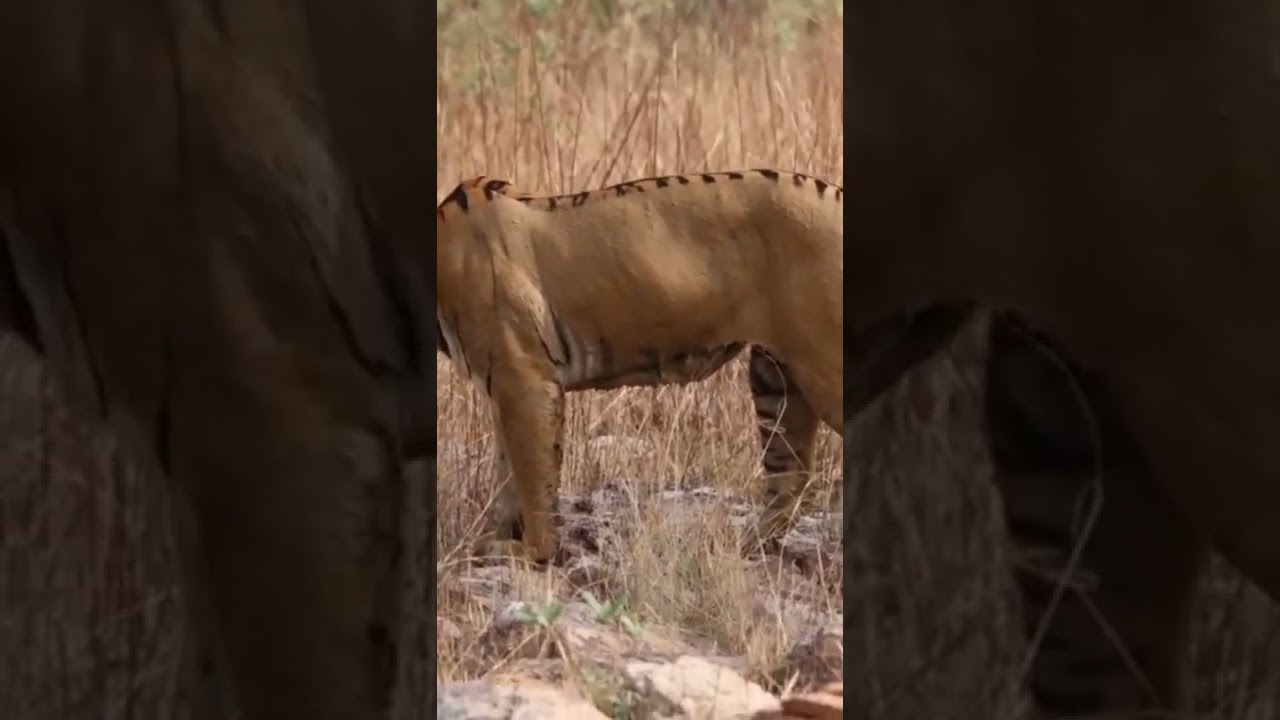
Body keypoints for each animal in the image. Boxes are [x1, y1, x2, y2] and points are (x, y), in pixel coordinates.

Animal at [435, 168, 843, 563]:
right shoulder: (502, 386)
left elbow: (531, 474)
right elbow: (508, 472)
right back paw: (740, 547)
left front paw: (531, 552)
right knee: (791, 476)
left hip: (822, 368)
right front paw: (500, 538)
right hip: (774, 374)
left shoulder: (524, 379)